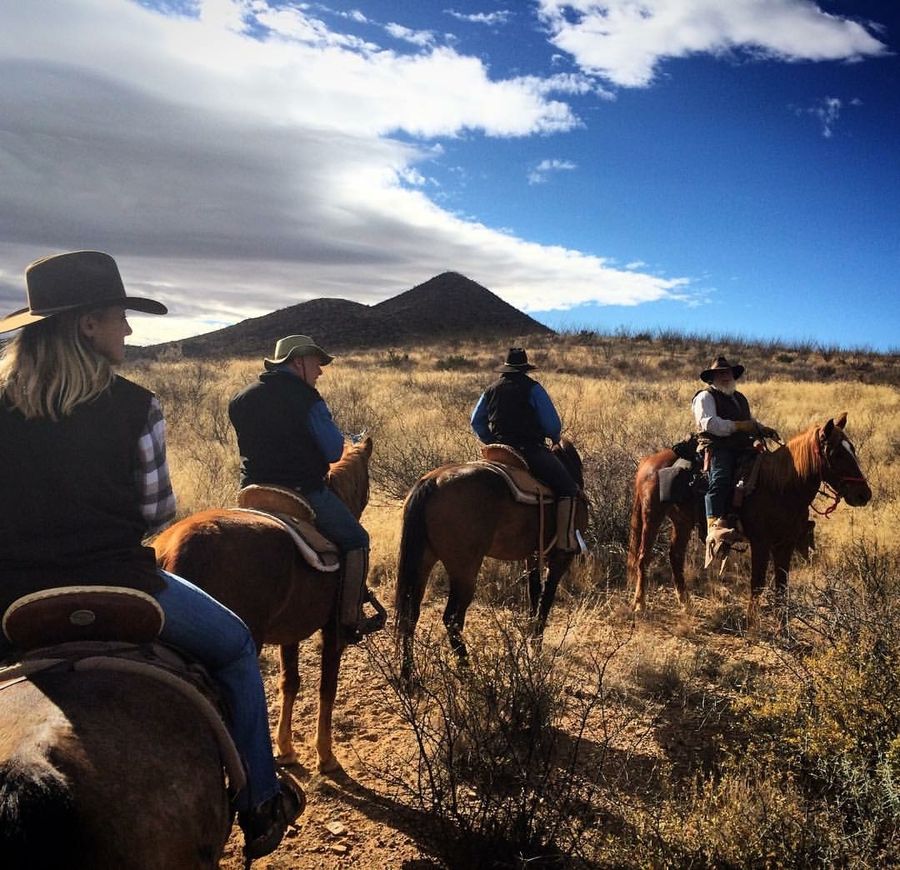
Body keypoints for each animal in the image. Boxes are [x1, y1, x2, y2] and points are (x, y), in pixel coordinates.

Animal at [153, 440, 370, 772]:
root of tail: (175, 550)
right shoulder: (333, 631)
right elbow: (327, 687)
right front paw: (326, 755)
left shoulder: (291, 631)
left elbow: (289, 682)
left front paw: (287, 749)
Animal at [398, 440, 588, 684]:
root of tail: (432, 481)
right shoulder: (560, 560)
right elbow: (545, 602)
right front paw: (536, 648)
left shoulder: (532, 557)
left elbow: (534, 596)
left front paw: (531, 645)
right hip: (464, 571)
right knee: (452, 618)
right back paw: (467, 670)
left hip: (423, 562)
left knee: (410, 615)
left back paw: (407, 676)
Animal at [624, 416, 872, 628]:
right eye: (836, 453)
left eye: (852, 449)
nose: (864, 495)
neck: (780, 486)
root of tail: (648, 462)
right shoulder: (761, 543)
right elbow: (758, 583)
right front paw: (752, 623)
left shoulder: (785, 543)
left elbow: (782, 585)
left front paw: (783, 629)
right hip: (652, 515)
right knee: (644, 556)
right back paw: (640, 605)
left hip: (682, 521)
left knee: (675, 556)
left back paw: (686, 605)